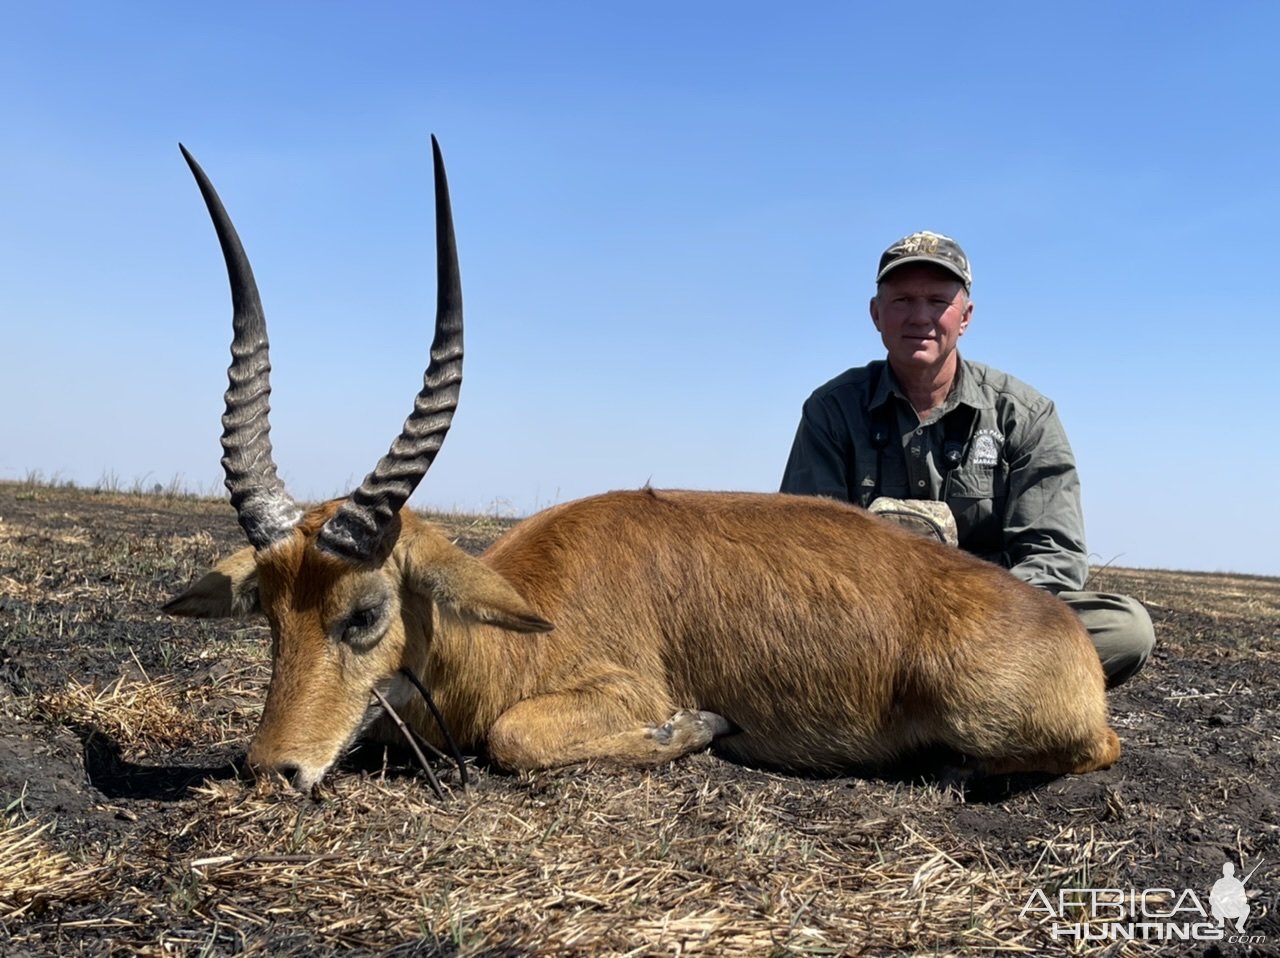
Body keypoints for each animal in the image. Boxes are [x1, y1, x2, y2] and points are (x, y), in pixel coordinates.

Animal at [167, 134, 1121, 794]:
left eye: (363, 613)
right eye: (269, 616)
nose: (272, 769)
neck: (512, 633)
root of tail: (1060, 628)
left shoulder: (611, 692)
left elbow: (516, 738)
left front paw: (693, 731)